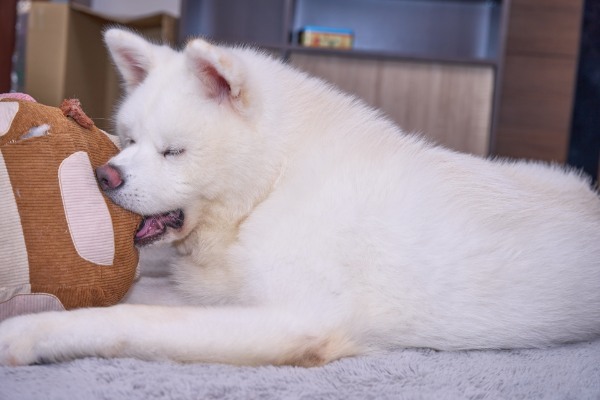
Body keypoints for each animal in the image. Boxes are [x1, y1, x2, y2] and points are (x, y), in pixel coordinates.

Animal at [1, 29, 600, 368]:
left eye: (173, 151)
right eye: (127, 140)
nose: (104, 177)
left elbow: (127, 319)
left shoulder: (293, 319)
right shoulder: (215, 289)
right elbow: (130, 296)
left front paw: (26, 334)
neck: (269, 186)